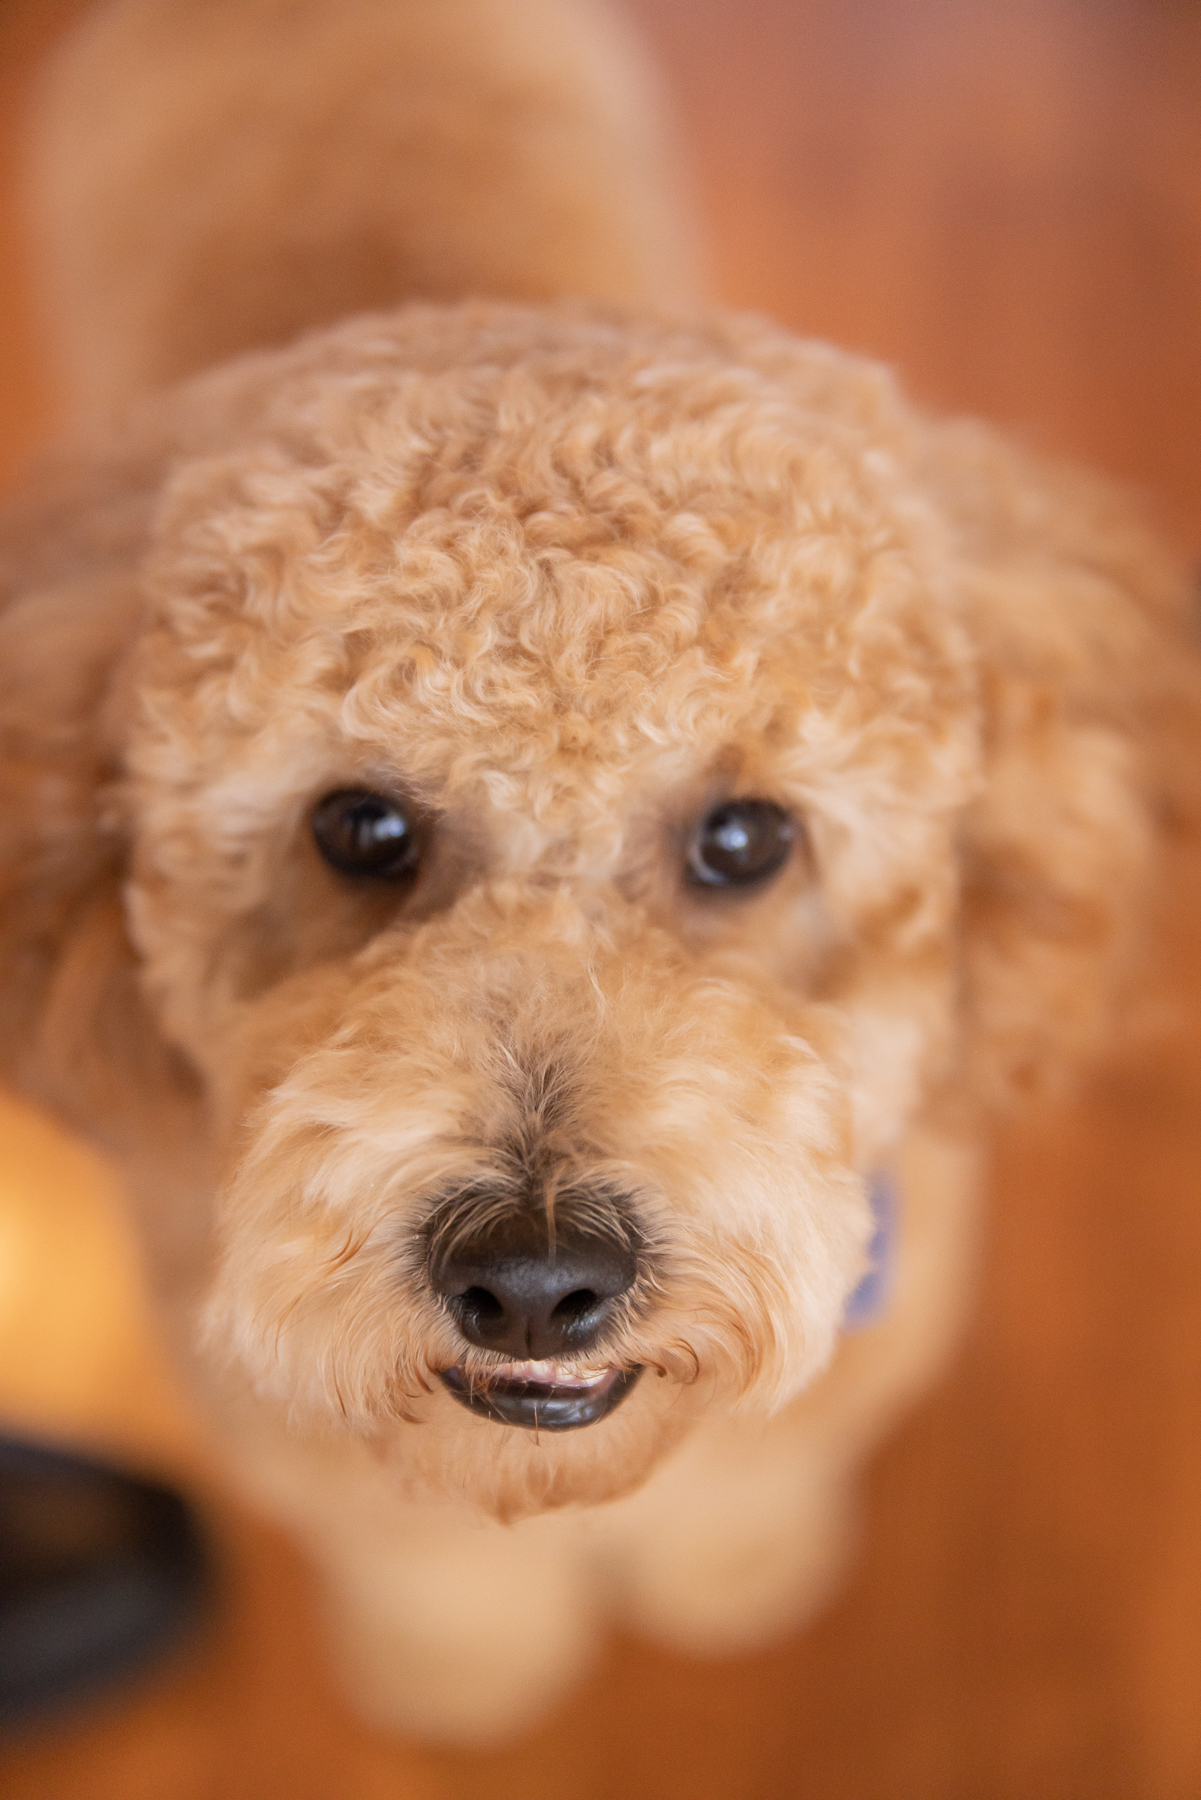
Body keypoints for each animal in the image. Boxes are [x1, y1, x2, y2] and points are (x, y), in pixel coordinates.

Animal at [0, 0, 1195, 1742]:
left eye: (747, 838)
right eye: (359, 830)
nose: (534, 1280)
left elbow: (756, 1480)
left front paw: (737, 1575)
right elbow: (427, 1567)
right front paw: (462, 1672)